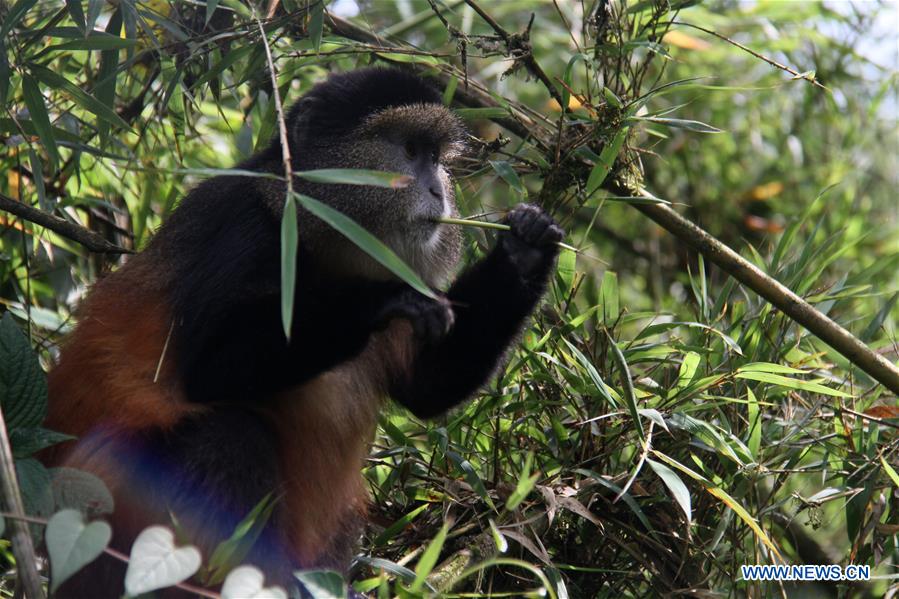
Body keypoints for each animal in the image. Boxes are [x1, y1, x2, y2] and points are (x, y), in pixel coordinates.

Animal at [43, 67, 563, 596]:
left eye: (436, 158)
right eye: (410, 149)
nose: (439, 190)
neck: (315, 228)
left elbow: (426, 386)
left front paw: (524, 248)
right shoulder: (244, 228)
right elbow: (209, 367)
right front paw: (383, 300)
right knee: (227, 436)